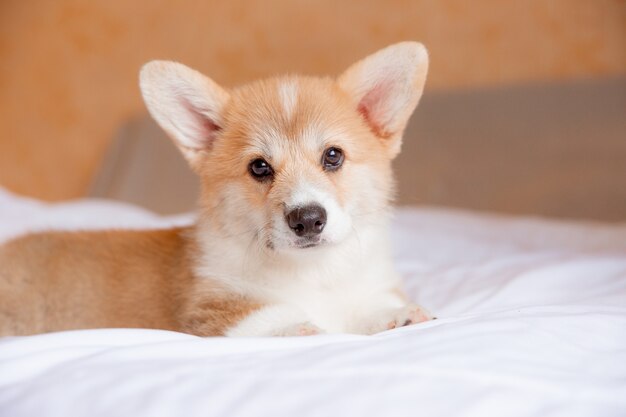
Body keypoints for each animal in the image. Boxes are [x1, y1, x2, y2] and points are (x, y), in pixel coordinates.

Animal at [0, 41, 428, 334]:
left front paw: (397, 314)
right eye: (259, 167)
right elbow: (278, 318)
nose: (307, 220)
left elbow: (368, 306)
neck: (312, 272)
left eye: (333, 156)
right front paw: (310, 328)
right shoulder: (214, 310)